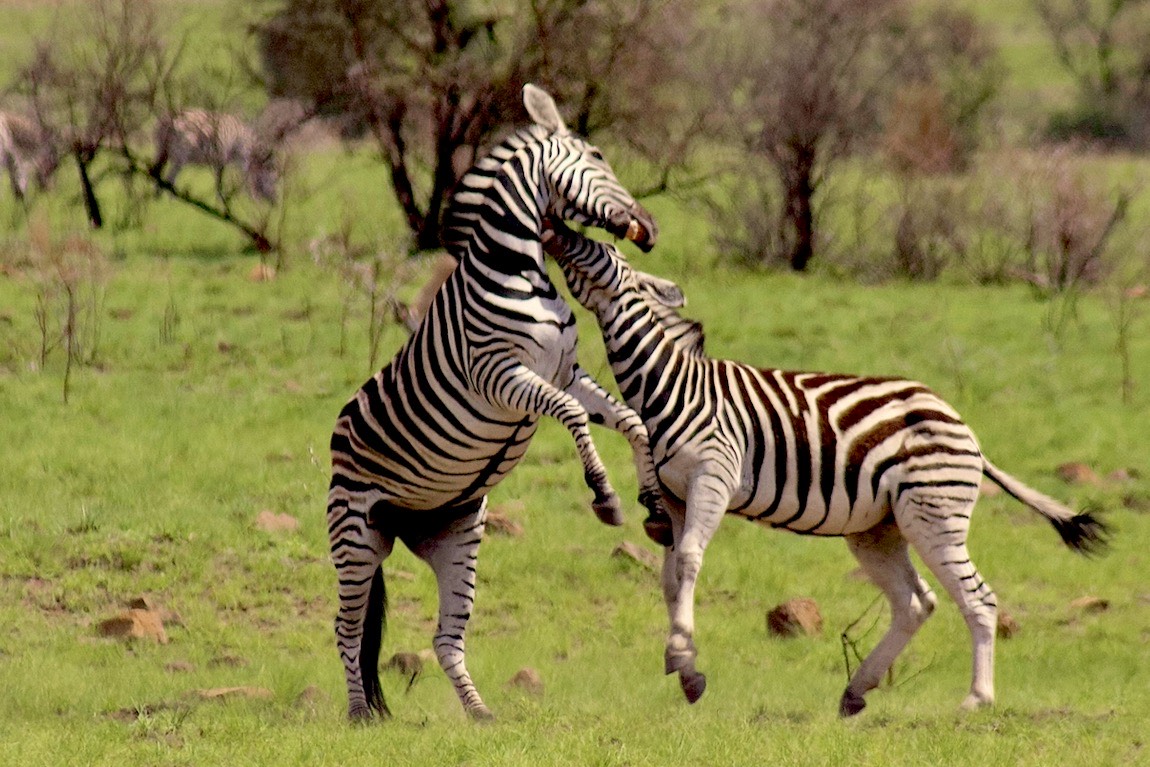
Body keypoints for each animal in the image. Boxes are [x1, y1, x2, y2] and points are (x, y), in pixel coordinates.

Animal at [327, 84, 664, 722]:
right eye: (599, 156)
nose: (650, 228)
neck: (520, 271)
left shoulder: (566, 370)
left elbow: (630, 419)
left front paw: (655, 503)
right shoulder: (500, 375)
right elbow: (575, 416)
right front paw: (605, 496)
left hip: (457, 531)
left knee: (444, 637)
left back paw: (480, 714)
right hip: (355, 534)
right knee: (347, 629)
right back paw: (358, 716)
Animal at [542, 219, 1108, 716]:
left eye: (601, 250)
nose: (554, 227)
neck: (669, 384)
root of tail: (962, 426)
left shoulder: (713, 478)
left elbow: (686, 564)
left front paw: (682, 659)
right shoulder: (675, 495)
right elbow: (670, 577)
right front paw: (686, 666)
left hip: (934, 517)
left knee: (980, 601)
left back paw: (976, 700)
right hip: (877, 531)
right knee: (916, 603)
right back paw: (857, 690)